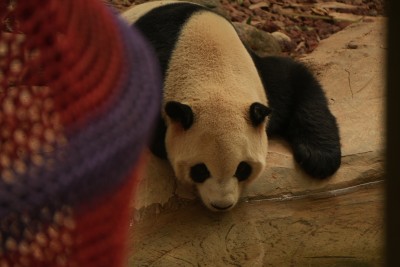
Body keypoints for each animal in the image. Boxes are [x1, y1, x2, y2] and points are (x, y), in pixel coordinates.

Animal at [122, 1, 340, 213]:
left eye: (242, 169)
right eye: (200, 170)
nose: (221, 205)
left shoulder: (263, 80)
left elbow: (296, 79)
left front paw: (319, 158)